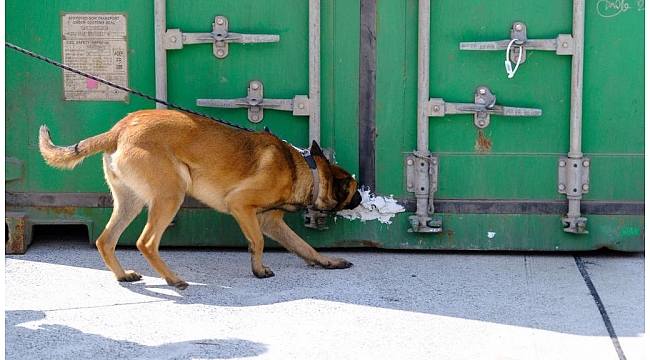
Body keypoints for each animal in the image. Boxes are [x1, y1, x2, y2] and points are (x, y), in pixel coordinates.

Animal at [38, 109, 362, 290]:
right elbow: (257, 242)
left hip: (131, 203)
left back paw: (123, 276)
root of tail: (119, 130)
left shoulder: (271, 221)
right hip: (171, 195)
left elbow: (305, 247)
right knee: (146, 242)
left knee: (105, 240)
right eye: (353, 188)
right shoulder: (241, 206)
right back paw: (173, 280)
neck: (305, 169)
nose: (361, 197)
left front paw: (328, 262)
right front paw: (258, 270)